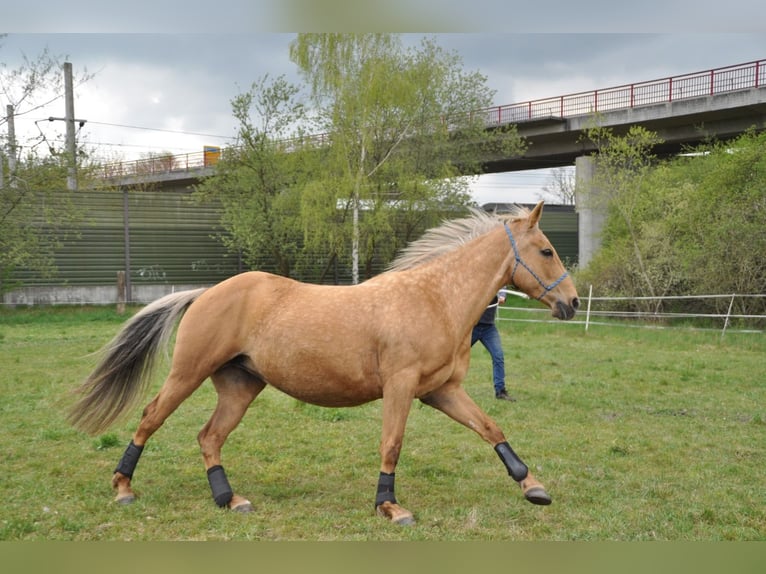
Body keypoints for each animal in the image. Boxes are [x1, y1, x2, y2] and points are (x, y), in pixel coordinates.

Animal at [69, 201, 580, 528]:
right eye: (547, 250)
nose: (573, 303)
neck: (434, 298)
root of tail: (207, 293)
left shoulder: (441, 391)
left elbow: (491, 429)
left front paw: (533, 487)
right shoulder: (401, 386)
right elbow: (391, 445)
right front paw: (390, 508)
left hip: (240, 386)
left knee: (209, 437)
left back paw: (229, 499)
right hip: (187, 374)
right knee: (151, 418)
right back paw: (123, 488)